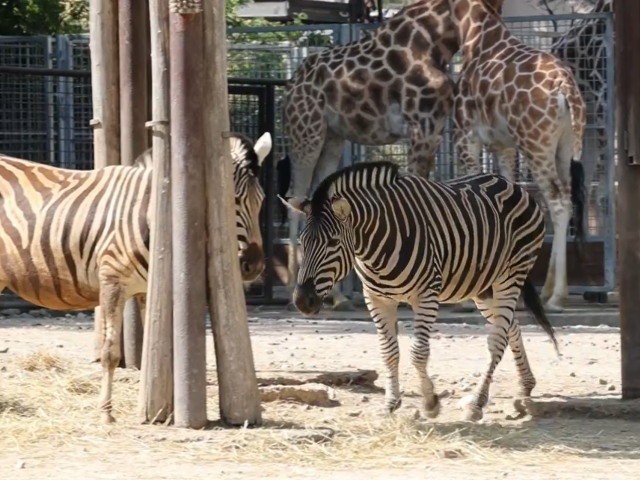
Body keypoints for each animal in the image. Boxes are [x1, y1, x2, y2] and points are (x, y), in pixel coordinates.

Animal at [0, 131, 272, 424]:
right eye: (232, 200)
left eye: (261, 200)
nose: (254, 266)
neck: (150, 215)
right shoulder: (112, 280)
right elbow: (110, 353)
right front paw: (107, 413)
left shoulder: (146, 289)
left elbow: (155, 351)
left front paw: (159, 410)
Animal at [280, 160, 559, 422]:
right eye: (302, 242)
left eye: (332, 242)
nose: (302, 301)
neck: (375, 246)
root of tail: (512, 184)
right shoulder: (376, 298)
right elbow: (389, 352)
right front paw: (390, 404)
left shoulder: (426, 295)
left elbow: (418, 353)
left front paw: (430, 402)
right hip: (484, 288)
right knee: (511, 326)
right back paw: (525, 385)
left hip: (511, 275)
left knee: (497, 338)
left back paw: (477, 403)